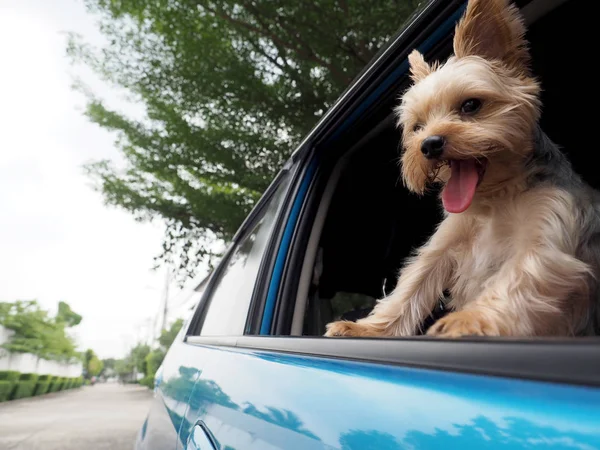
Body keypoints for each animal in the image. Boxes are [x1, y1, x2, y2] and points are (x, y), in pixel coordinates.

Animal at [328, 0, 600, 338]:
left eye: (471, 105)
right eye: (418, 127)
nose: (429, 144)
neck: (496, 197)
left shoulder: (548, 228)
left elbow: (521, 273)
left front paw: (468, 320)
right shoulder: (446, 242)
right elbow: (411, 285)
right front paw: (366, 329)